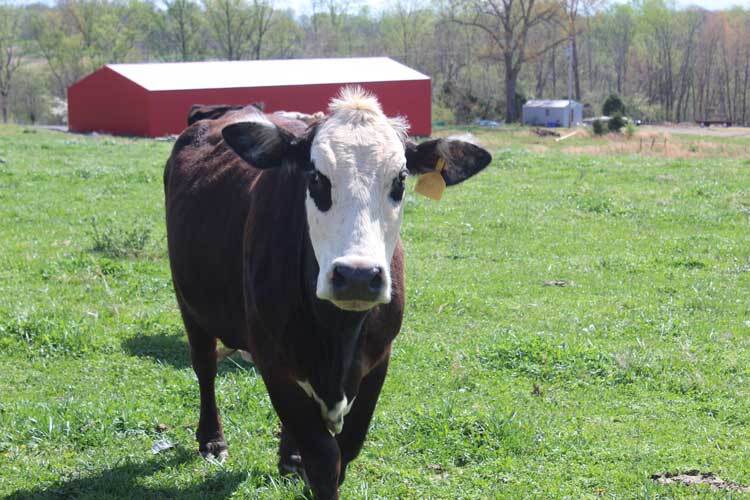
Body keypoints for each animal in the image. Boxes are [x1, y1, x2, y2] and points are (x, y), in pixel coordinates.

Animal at [164, 88, 494, 498]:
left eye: (400, 180)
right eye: (317, 178)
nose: (357, 276)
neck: (338, 333)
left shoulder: (378, 360)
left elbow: (347, 447)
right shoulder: (272, 360)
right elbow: (323, 456)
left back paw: (290, 458)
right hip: (189, 302)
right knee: (205, 365)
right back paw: (212, 439)